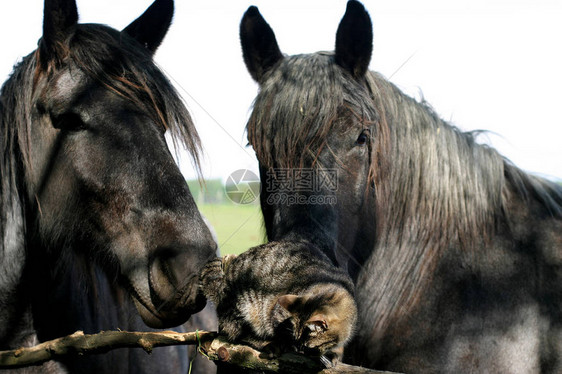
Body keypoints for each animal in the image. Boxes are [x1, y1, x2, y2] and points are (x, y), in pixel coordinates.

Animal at [198, 241, 354, 364]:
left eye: (307, 346)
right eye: (300, 342)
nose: (299, 348)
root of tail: (221, 285)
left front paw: (332, 353)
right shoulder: (276, 312)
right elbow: (280, 331)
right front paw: (287, 344)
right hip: (243, 309)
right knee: (239, 334)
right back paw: (268, 343)